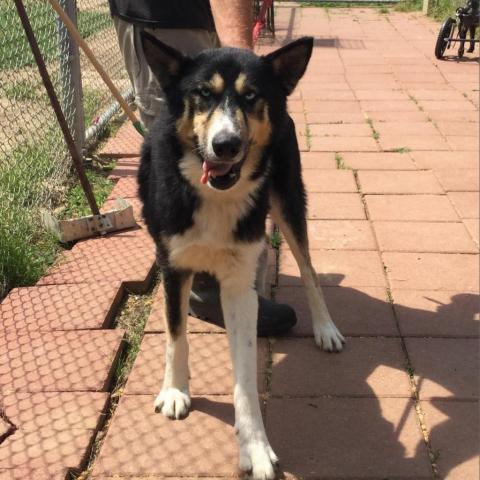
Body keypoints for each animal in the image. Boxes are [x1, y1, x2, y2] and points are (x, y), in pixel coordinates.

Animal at [137, 31, 344, 478]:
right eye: (202, 94)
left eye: (251, 96)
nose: (226, 144)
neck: (215, 195)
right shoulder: (172, 264)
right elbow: (175, 336)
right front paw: (175, 390)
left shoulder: (239, 285)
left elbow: (246, 378)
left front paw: (255, 446)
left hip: (288, 198)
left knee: (308, 270)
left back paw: (325, 328)